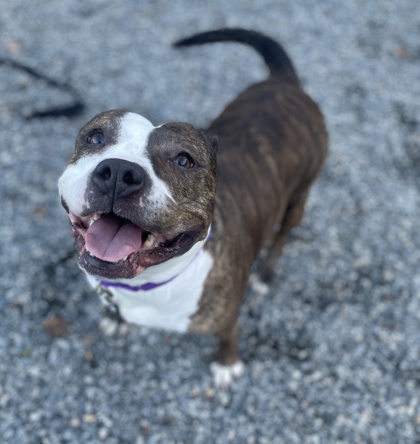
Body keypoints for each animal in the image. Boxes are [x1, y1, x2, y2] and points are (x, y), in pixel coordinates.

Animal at [58, 28, 328, 388]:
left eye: (184, 160)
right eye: (96, 138)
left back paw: (265, 275)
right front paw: (116, 320)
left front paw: (226, 363)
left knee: (283, 235)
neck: (147, 285)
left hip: (299, 196)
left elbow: (229, 336)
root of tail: (284, 82)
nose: (118, 172)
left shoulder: (226, 316)